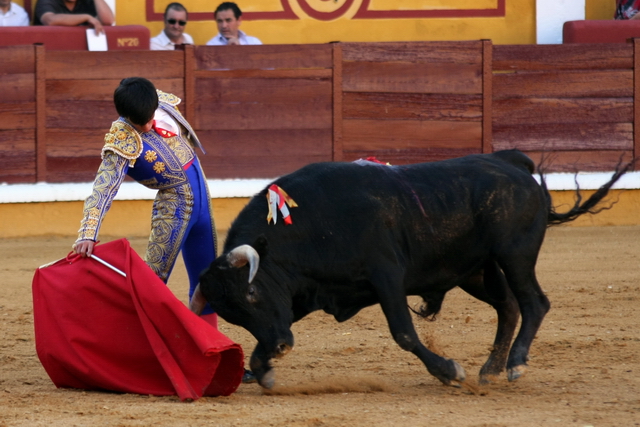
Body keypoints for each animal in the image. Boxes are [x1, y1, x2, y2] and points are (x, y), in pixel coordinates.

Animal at [190, 151, 632, 392]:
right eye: (233, 315)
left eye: (251, 293)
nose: (281, 347)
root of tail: (510, 162)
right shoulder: (305, 296)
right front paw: (262, 368)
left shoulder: (386, 276)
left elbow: (403, 332)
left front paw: (448, 371)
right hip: (477, 272)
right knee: (508, 307)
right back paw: (490, 370)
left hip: (515, 253)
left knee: (534, 302)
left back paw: (515, 364)